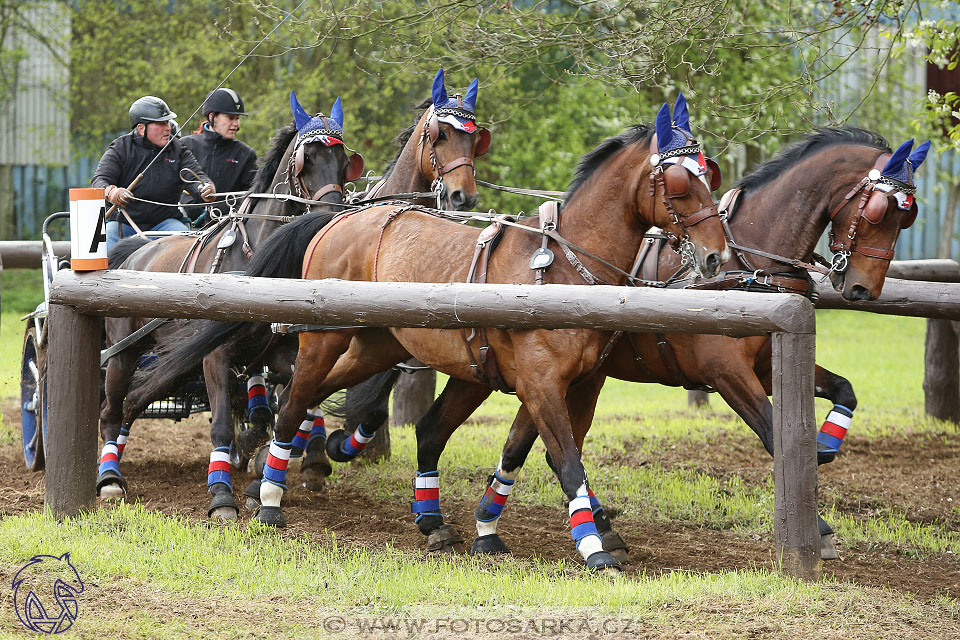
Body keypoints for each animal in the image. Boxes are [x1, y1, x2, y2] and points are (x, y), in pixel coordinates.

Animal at [96, 92, 364, 520]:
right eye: (307, 158)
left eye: (343, 159)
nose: (331, 216)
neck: (256, 260)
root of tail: (136, 251)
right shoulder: (215, 355)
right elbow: (221, 423)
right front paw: (222, 495)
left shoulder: (280, 355)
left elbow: (290, 407)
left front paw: (263, 470)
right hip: (124, 352)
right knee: (111, 408)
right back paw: (108, 477)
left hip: (174, 358)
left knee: (135, 400)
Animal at [125, 92, 728, 572]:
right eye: (680, 181)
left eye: (709, 173)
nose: (717, 255)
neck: (561, 268)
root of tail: (337, 219)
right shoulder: (540, 383)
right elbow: (565, 459)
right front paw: (594, 547)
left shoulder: (566, 384)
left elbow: (521, 451)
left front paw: (492, 527)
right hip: (320, 339)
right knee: (292, 401)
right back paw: (265, 498)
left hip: (376, 347)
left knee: (323, 403)